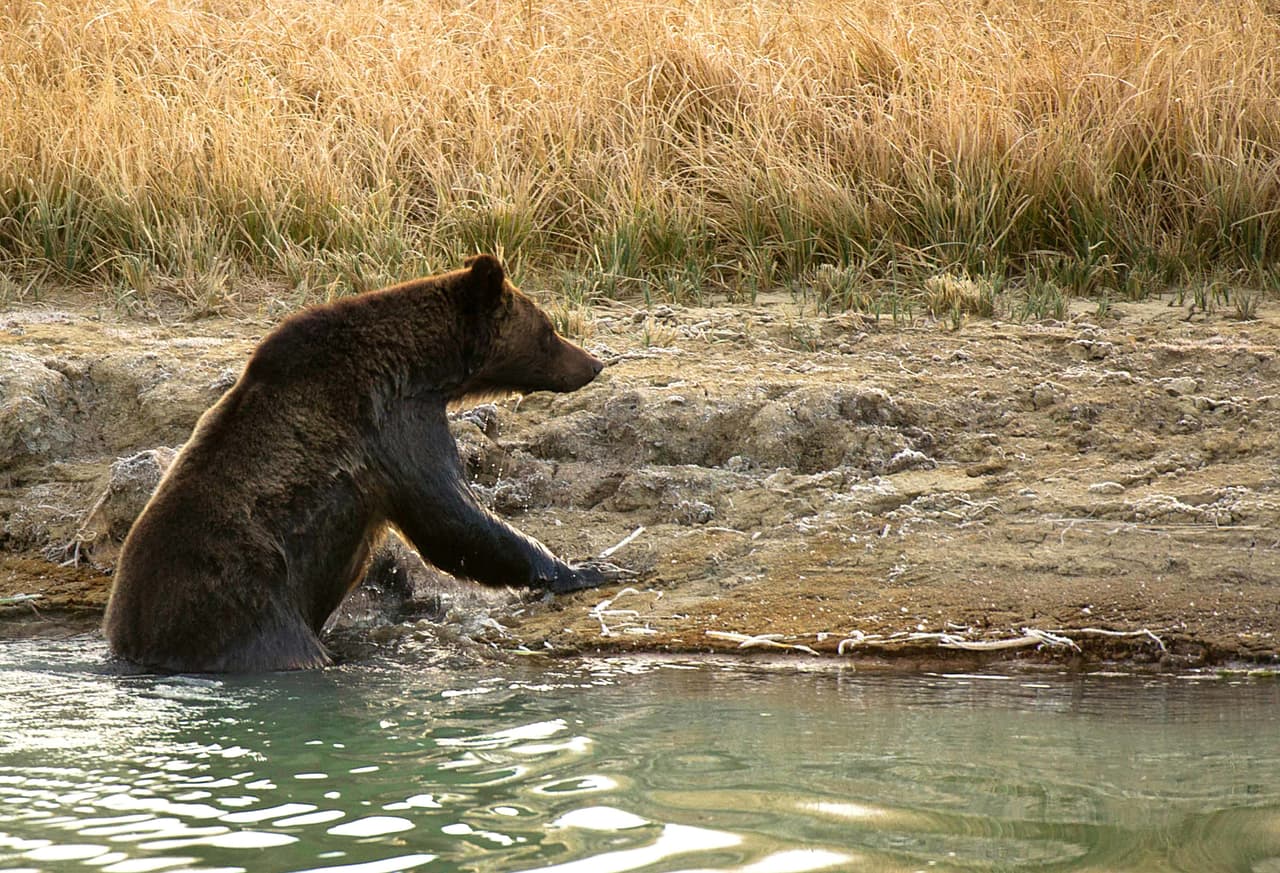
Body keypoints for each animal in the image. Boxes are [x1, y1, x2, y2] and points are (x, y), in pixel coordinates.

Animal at [103, 254, 625, 673]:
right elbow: (452, 518)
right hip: (246, 609)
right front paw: (588, 568)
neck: (419, 366)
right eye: (549, 329)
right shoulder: (392, 424)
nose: (594, 363)